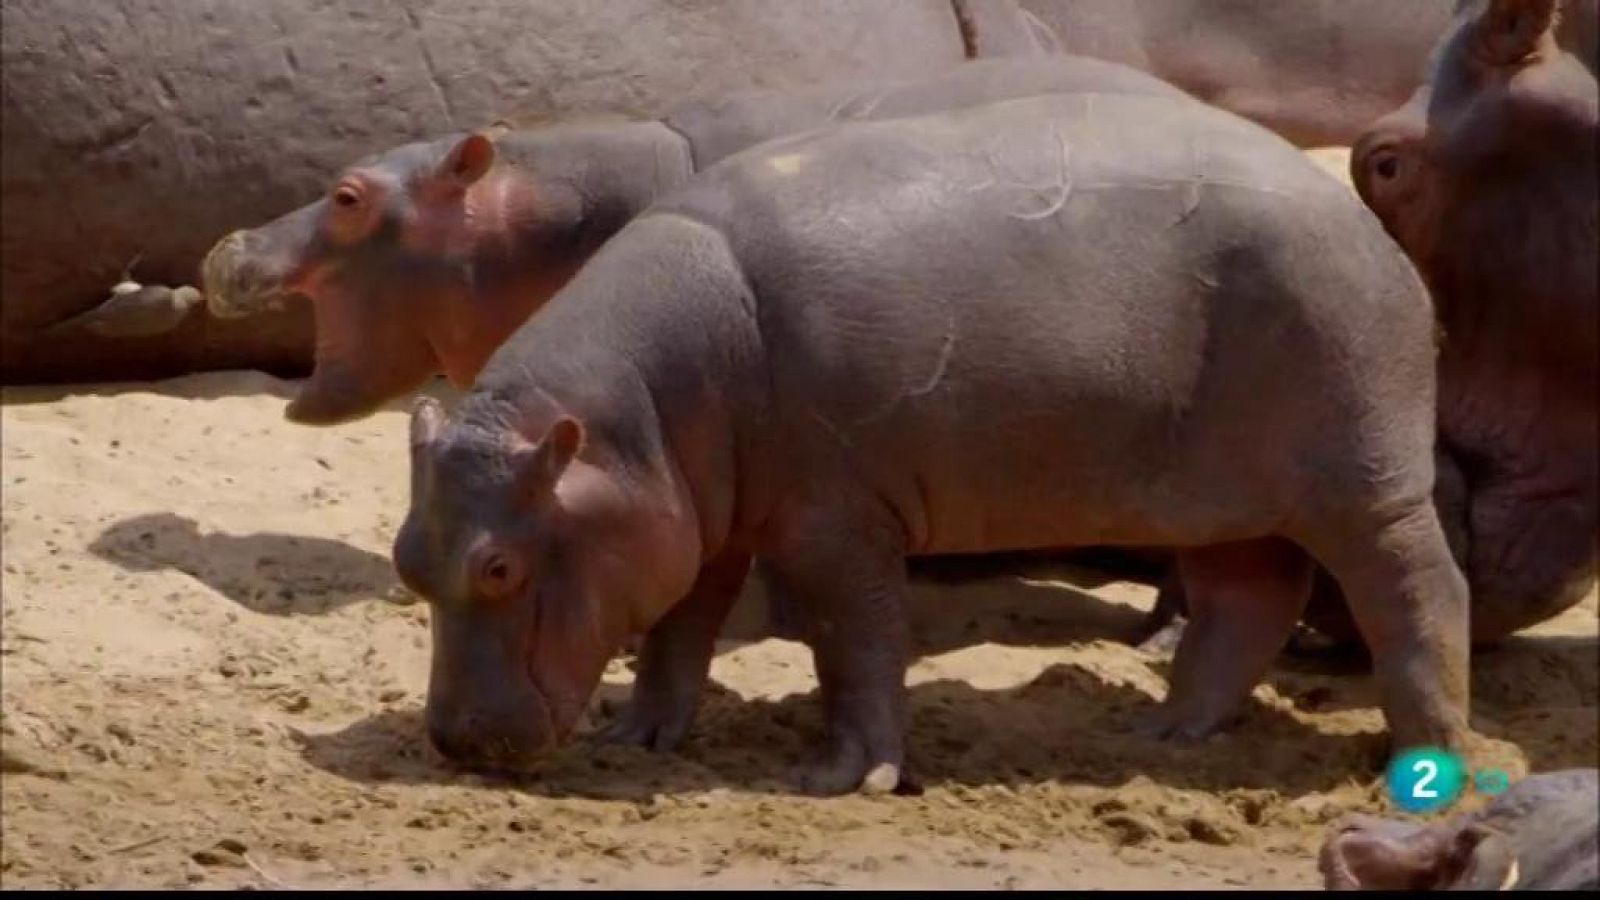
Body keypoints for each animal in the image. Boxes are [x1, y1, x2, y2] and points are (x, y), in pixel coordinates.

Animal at [393, 89, 1465, 791]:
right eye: (407, 560)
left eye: (497, 567)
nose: (454, 743)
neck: (628, 423)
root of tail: (1360, 219)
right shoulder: (698, 516)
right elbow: (678, 626)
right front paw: (639, 738)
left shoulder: (834, 522)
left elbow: (857, 643)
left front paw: (840, 778)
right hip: (1216, 497)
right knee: (1247, 601)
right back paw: (1159, 737)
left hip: (1363, 476)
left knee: (1417, 591)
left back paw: (1418, 759)